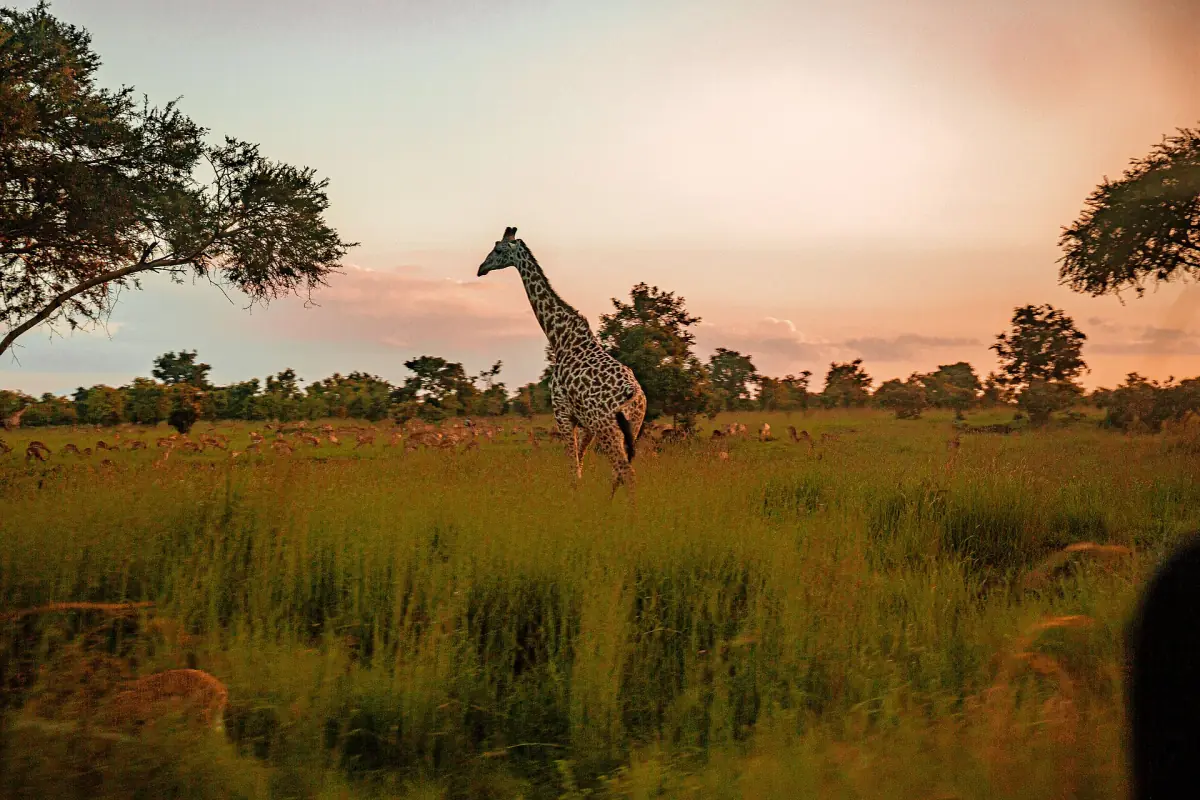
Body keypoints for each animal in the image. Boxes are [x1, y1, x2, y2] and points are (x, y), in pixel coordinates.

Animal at [477, 227, 646, 495]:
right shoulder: (586, 423)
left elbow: (573, 471)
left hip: (609, 429)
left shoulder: (562, 412)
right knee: (619, 473)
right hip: (631, 428)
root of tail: (635, 396)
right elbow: (580, 465)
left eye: (498, 249)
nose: (481, 268)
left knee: (626, 473)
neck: (560, 337)